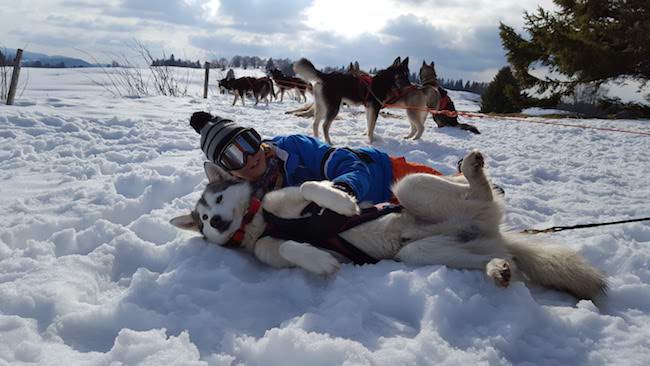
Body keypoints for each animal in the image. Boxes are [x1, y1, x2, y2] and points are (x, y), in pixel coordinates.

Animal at [170, 150, 604, 302]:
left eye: (217, 202)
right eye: (204, 220)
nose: (217, 221)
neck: (260, 220)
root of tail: (491, 231)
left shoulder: (289, 198)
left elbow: (313, 187)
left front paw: (341, 200)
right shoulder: (269, 248)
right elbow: (291, 248)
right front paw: (319, 262)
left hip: (411, 188)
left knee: (476, 190)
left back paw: (474, 172)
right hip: (421, 253)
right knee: (496, 258)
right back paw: (498, 270)